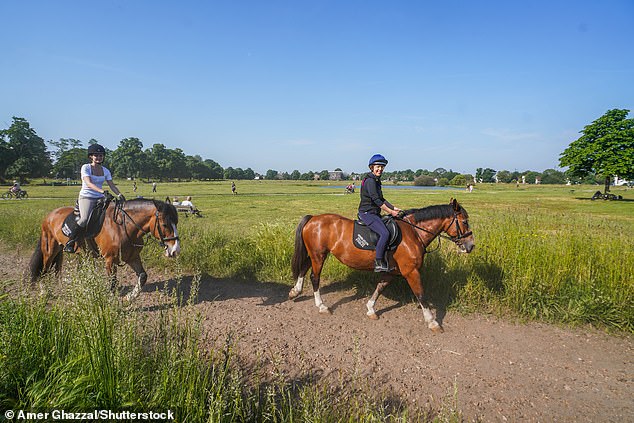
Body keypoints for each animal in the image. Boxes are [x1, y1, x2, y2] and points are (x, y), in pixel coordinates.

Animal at [29, 199, 180, 302]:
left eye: (176, 223)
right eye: (165, 224)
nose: (175, 250)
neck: (123, 227)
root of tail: (49, 215)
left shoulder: (132, 257)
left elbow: (143, 276)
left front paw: (129, 297)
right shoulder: (110, 260)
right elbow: (112, 283)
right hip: (50, 248)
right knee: (44, 269)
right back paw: (44, 292)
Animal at [288, 200, 472, 334]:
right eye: (464, 222)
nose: (470, 246)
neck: (413, 232)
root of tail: (314, 218)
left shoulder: (392, 271)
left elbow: (380, 287)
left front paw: (370, 309)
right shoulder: (411, 272)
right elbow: (421, 295)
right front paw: (432, 321)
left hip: (315, 254)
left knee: (303, 268)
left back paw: (295, 291)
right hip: (319, 255)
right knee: (314, 277)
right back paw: (321, 306)